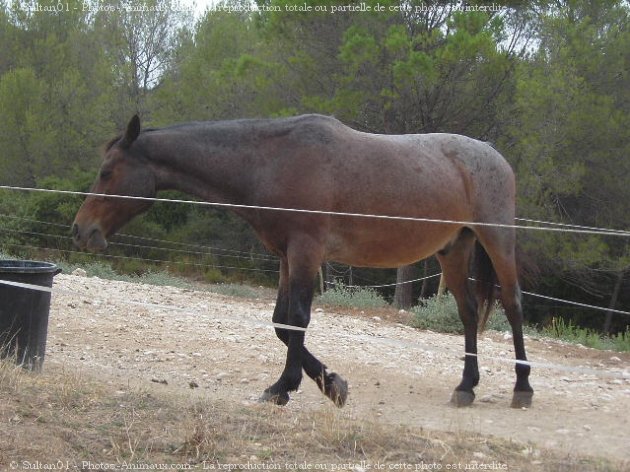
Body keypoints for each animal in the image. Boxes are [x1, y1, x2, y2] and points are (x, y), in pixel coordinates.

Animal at [75, 114, 540, 410]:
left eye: (107, 172)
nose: (81, 230)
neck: (273, 160)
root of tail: (493, 155)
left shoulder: (305, 251)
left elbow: (297, 320)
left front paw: (283, 387)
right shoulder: (287, 255)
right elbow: (282, 324)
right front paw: (332, 384)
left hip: (497, 239)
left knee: (513, 305)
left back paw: (522, 388)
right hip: (454, 249)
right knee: (467, 313)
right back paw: (466, 387)